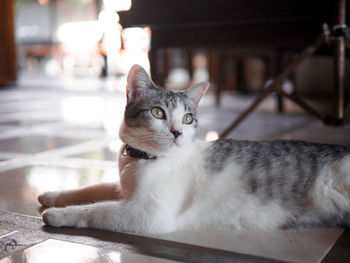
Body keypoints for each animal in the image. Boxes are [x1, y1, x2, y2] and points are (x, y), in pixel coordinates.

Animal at [38, 65, 350, 234]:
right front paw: (53, 195)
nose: (177, 132)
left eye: (188, 118)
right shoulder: (122, 188)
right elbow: (90, 190)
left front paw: (58, 214)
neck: (142, 160)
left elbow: (95, 209)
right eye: (158, 113)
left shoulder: (147, 213)